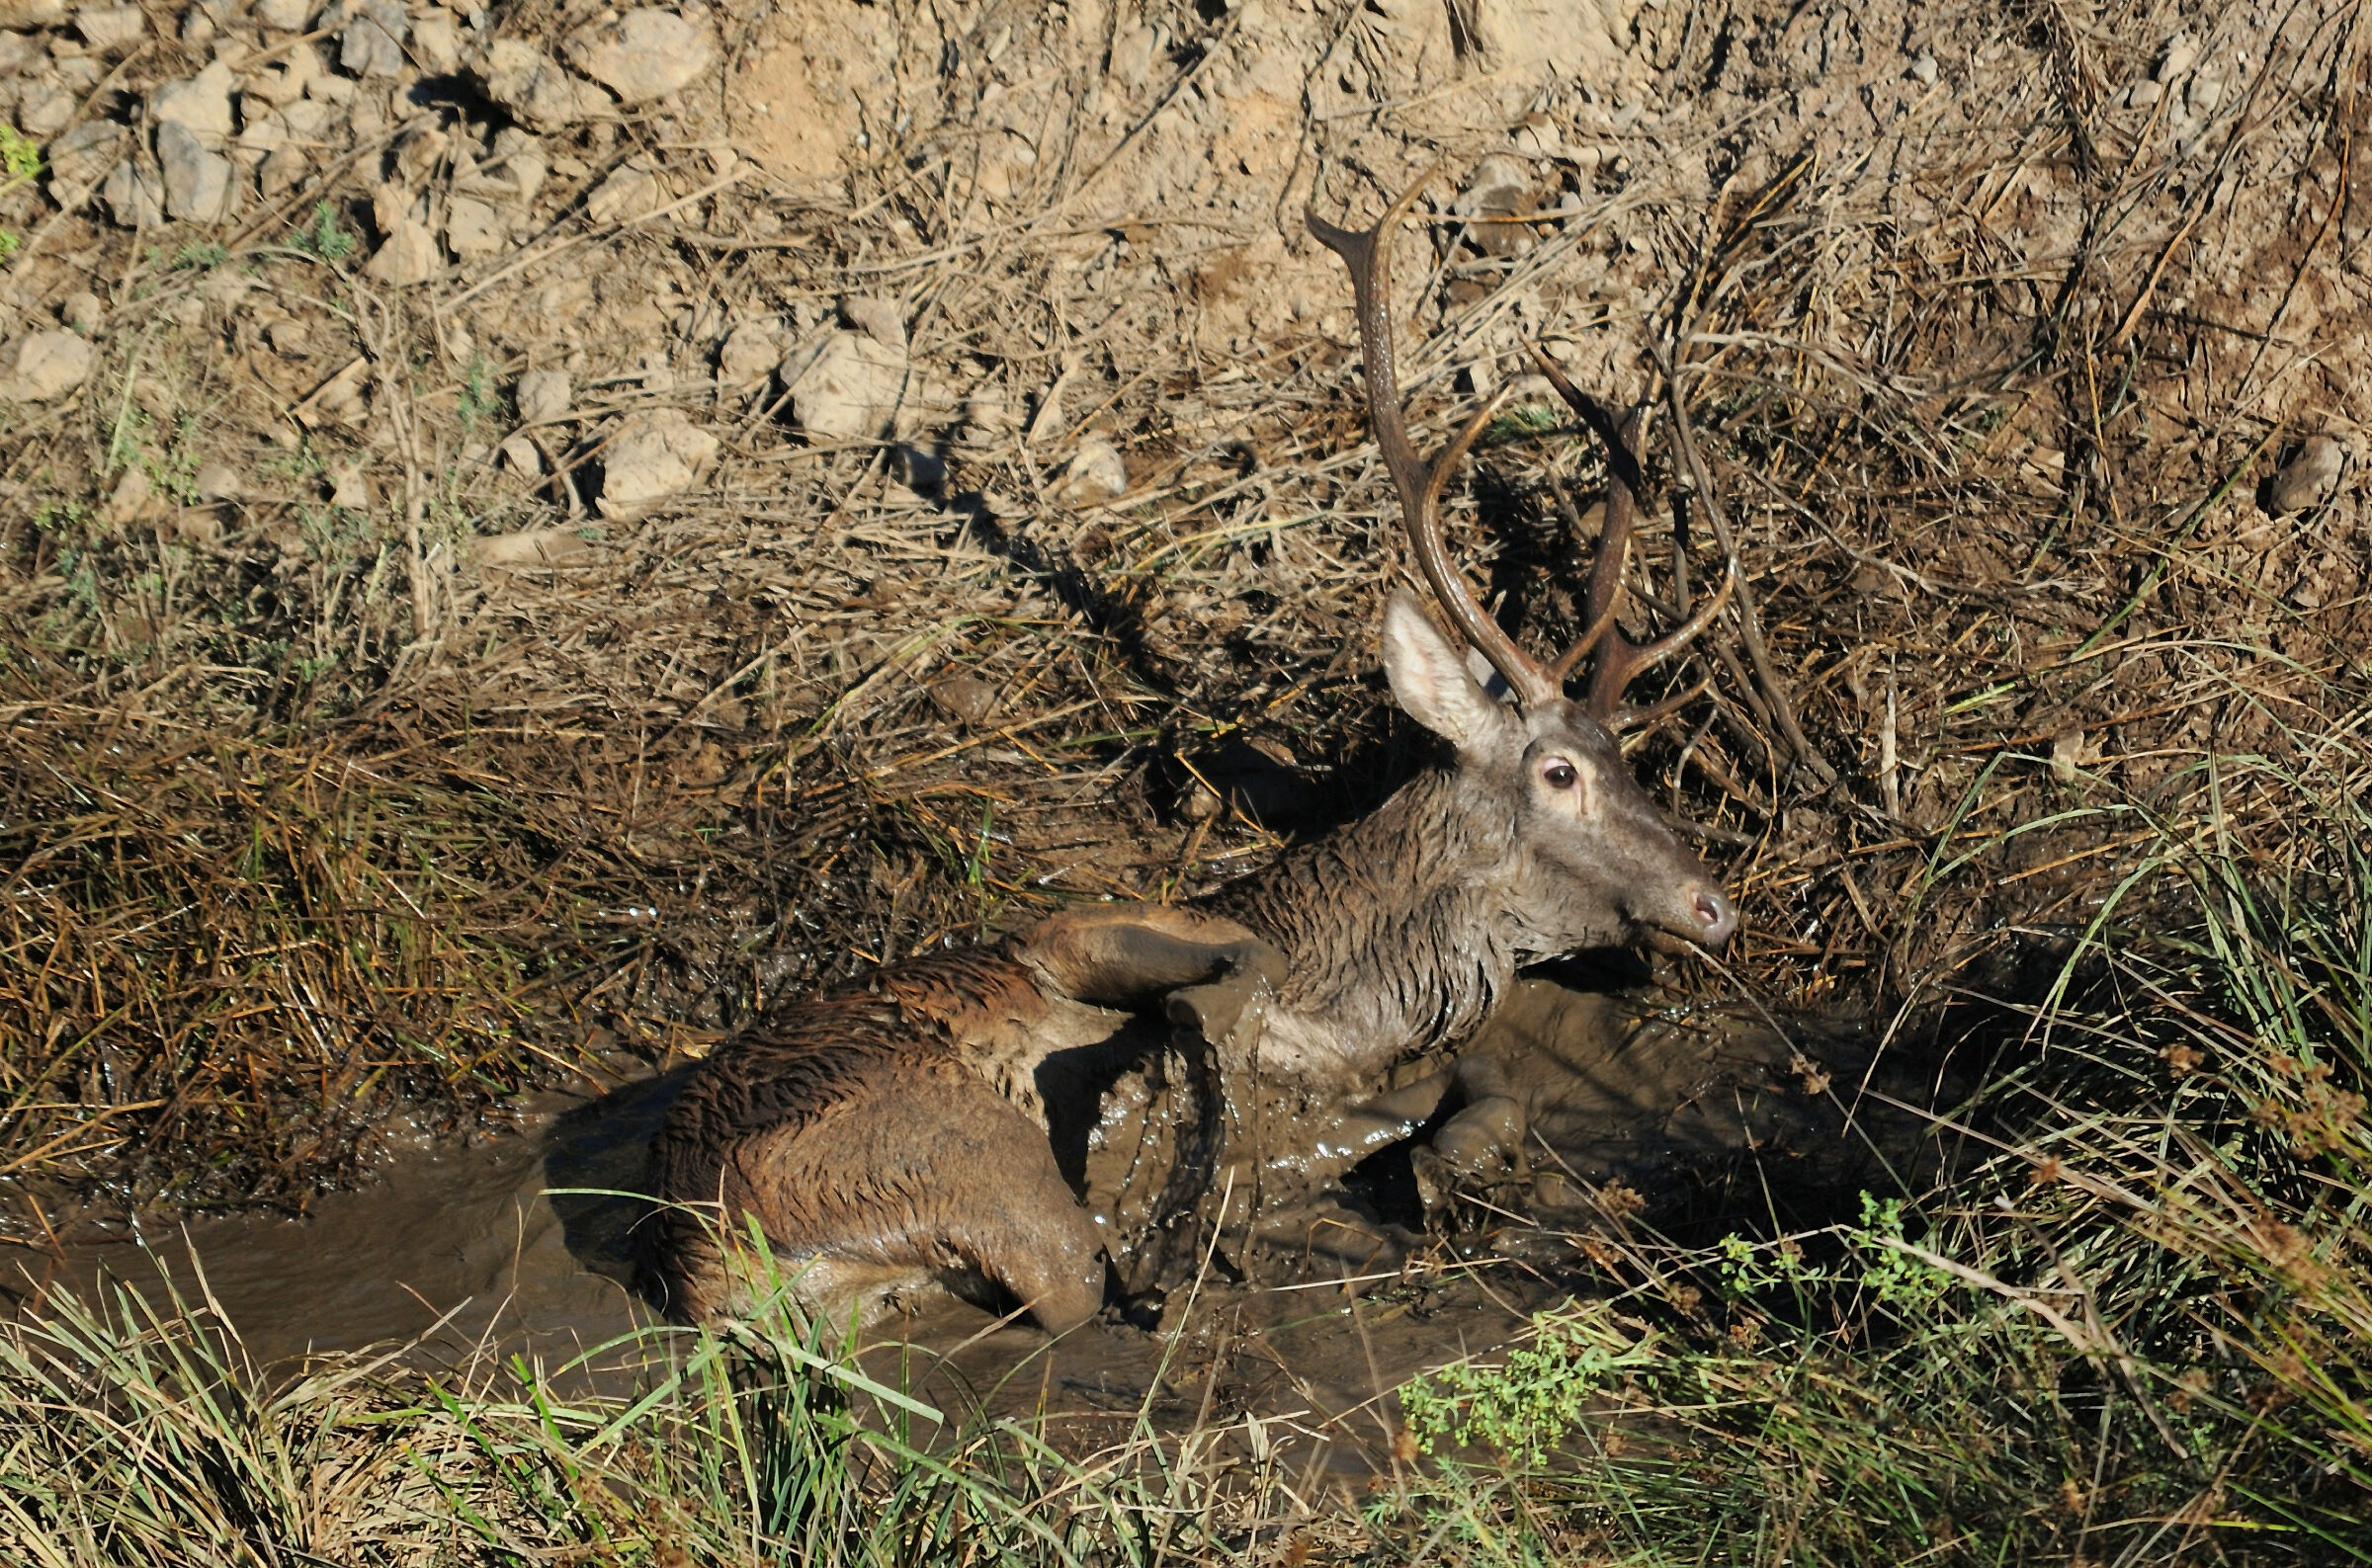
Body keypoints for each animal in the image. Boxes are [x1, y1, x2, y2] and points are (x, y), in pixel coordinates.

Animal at [640, 180, 1740, 1335]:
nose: (1714, 904)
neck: (1348, 1003)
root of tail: (703, 1262)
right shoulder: (1082, 928)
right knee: (1072, 1275)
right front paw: (1172, 1119)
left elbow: (1459, 1081)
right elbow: (1217, 984)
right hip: (953, 1153)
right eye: (1559, 772)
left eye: (1624, 755)